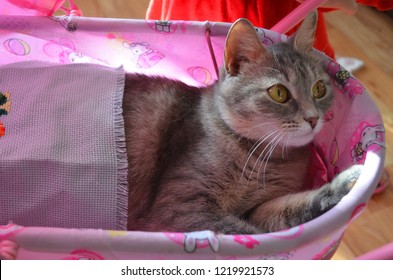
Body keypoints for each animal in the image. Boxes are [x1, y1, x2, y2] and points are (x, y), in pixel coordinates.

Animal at [123, 11, 362, 234]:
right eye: (279, 93)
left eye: (319, 88)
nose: (313, 118)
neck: (268, 159)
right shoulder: (179, 207)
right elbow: (247, 235)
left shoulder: (258, 209)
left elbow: (291, 209)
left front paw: (346, 182)